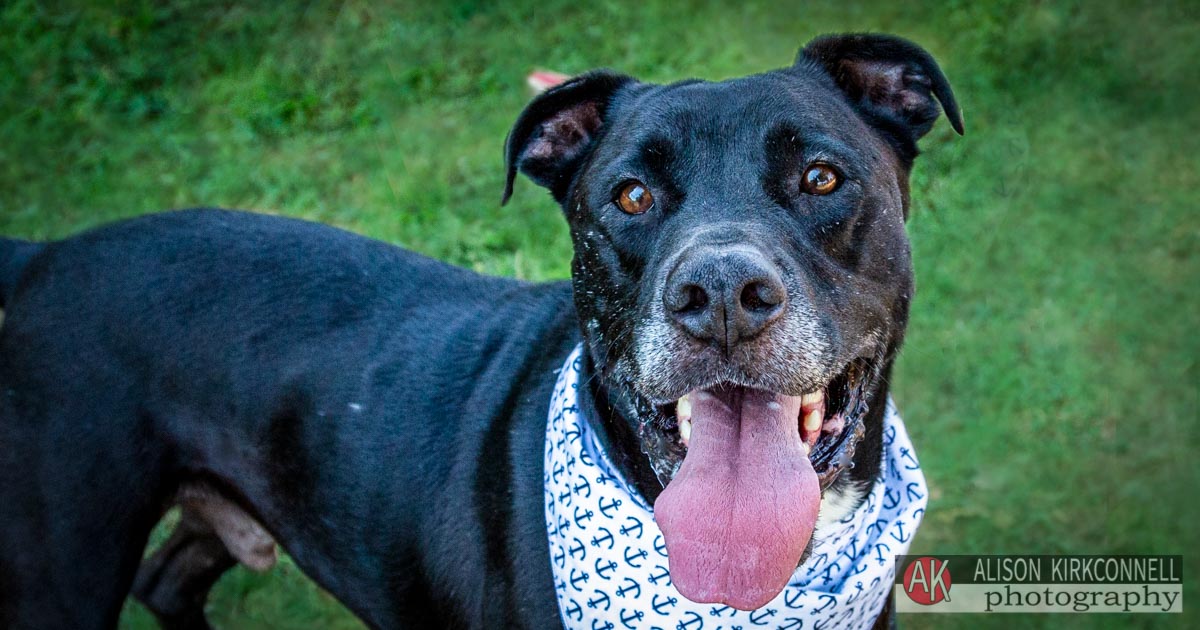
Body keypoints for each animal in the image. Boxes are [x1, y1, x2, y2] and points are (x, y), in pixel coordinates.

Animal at [0, 35, 960, 628]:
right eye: (631, 196)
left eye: (821, 176)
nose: (720, 291)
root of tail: (43, 256)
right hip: (59, 566)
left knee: (168, 580)